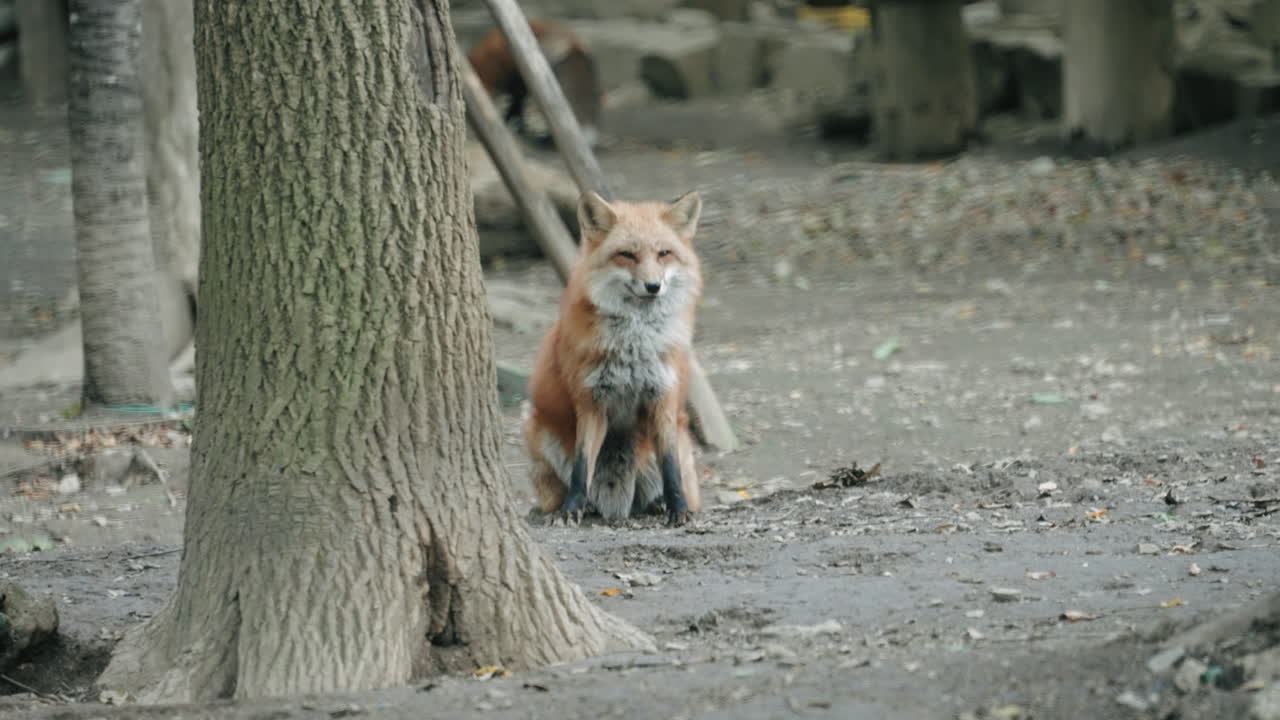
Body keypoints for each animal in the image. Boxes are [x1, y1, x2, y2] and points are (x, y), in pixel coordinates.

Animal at [468, 20, 603, 147]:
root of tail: (573, 45)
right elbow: (516, 106)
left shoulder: (517, 83)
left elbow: (516, 107)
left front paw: (513, 124)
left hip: (546, 94)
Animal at [524, 190, 706, 527]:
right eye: (627, 255)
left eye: (664, 254)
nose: (653, 286)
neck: (635, 344)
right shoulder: (590, 401)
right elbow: (582, 467)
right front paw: (571, 509)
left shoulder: (663, 396)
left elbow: (670, 466)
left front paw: (678, 508)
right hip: (536, 429)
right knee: (556, 489)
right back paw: (569, 507)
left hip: (680, 440)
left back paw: (658, 503)